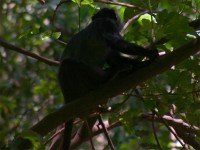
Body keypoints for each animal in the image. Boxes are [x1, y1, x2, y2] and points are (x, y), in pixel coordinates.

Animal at [57, 8, 158, 150]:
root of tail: (68, 98)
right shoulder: (106, 23)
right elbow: (116, 43)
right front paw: (149, 54)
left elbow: (113, 56)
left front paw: (139, 64)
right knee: (68, 64)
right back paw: (109, 77)